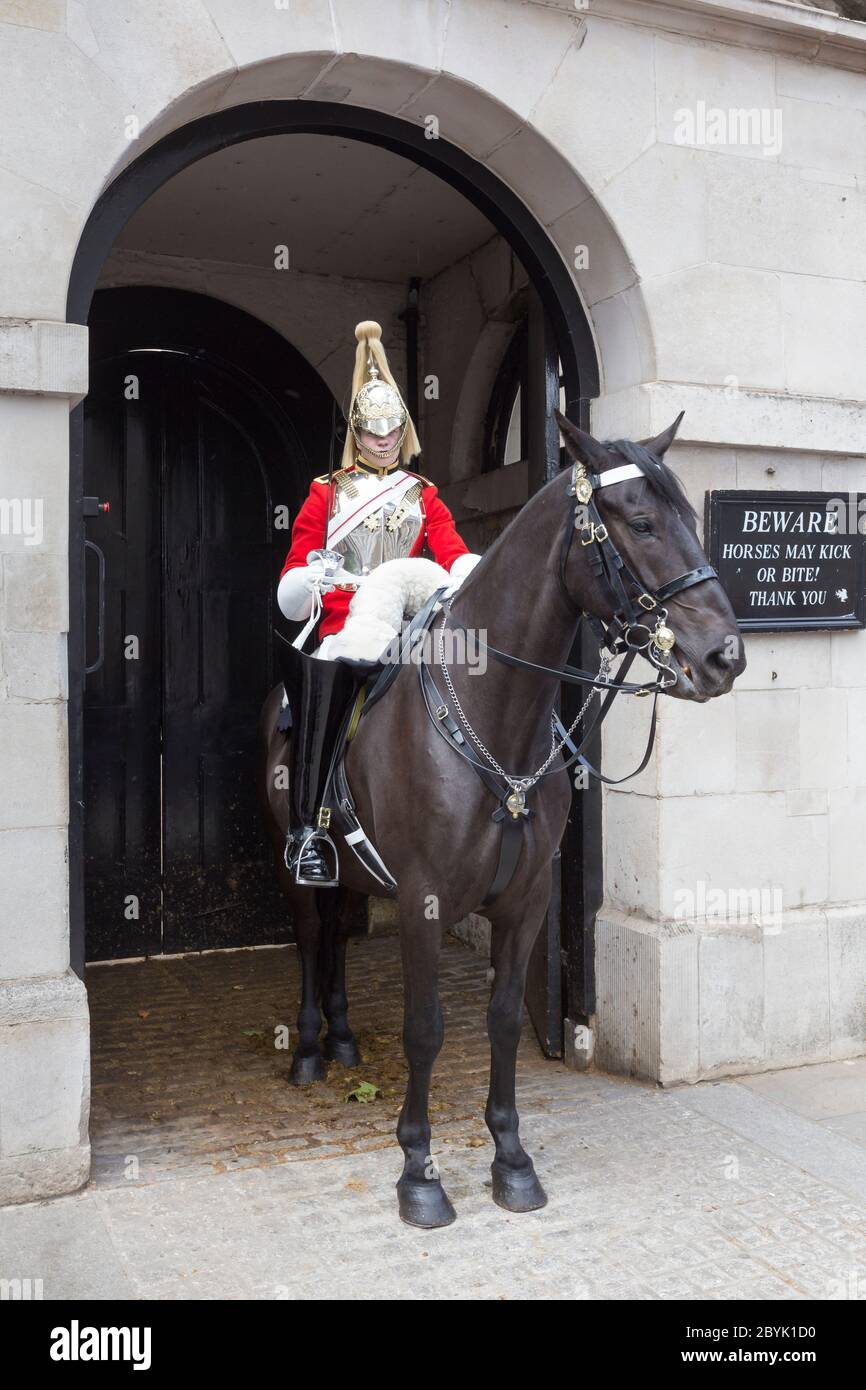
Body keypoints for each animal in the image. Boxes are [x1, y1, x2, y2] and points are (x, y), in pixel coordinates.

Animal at [257, 411, 745, 1228]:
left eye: (689, 517)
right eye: (642, 521)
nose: (726, 657)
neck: (496, 717)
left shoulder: (527, 901)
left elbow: (507, 1019)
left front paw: (512, 1160)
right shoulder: (423, 901)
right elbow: (425, 1030)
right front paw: (418, 1172)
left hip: (358, 874)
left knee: (339, 934)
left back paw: (345, 1037)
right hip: (296, 863)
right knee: (309, 934)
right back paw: (309, 1050)